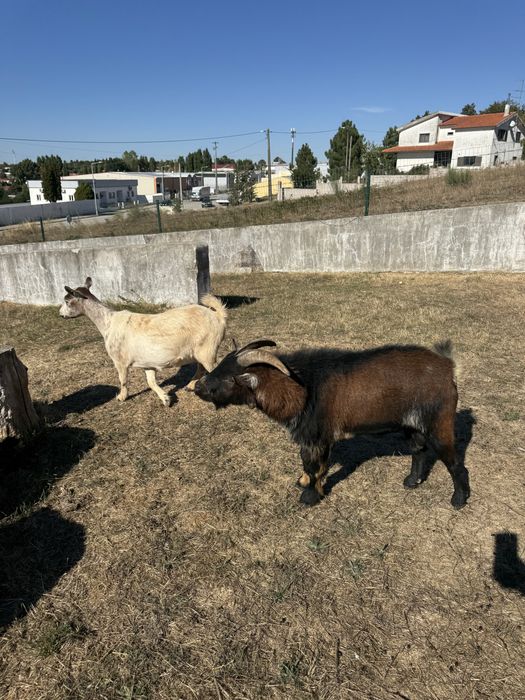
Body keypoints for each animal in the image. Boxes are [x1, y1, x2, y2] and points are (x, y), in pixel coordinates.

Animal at [59, 277, 227, 406]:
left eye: (67, 301)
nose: (61, 314)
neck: (108, 322)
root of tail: (218, 316)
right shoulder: (148, 362)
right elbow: (151, 382)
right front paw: (165, 399)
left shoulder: (119, 360)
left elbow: (123, 380)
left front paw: (121, 397)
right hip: (200, 351)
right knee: (201, 368)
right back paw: (190, 386)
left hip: (207, 349)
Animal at [194, 339, 470, 509]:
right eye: (219, 366)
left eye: (230, 378)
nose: (198, 387)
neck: (304, 385)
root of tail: (448, 367)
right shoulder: (312, 437)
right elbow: (310, 464)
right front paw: (304, 483)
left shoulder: (317, 436)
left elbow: (315, 466)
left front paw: (309, 497)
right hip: (412, 425)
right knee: (419, 450)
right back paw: (412, 481)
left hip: (439, 423)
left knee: (455, 462)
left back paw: (458, 499)